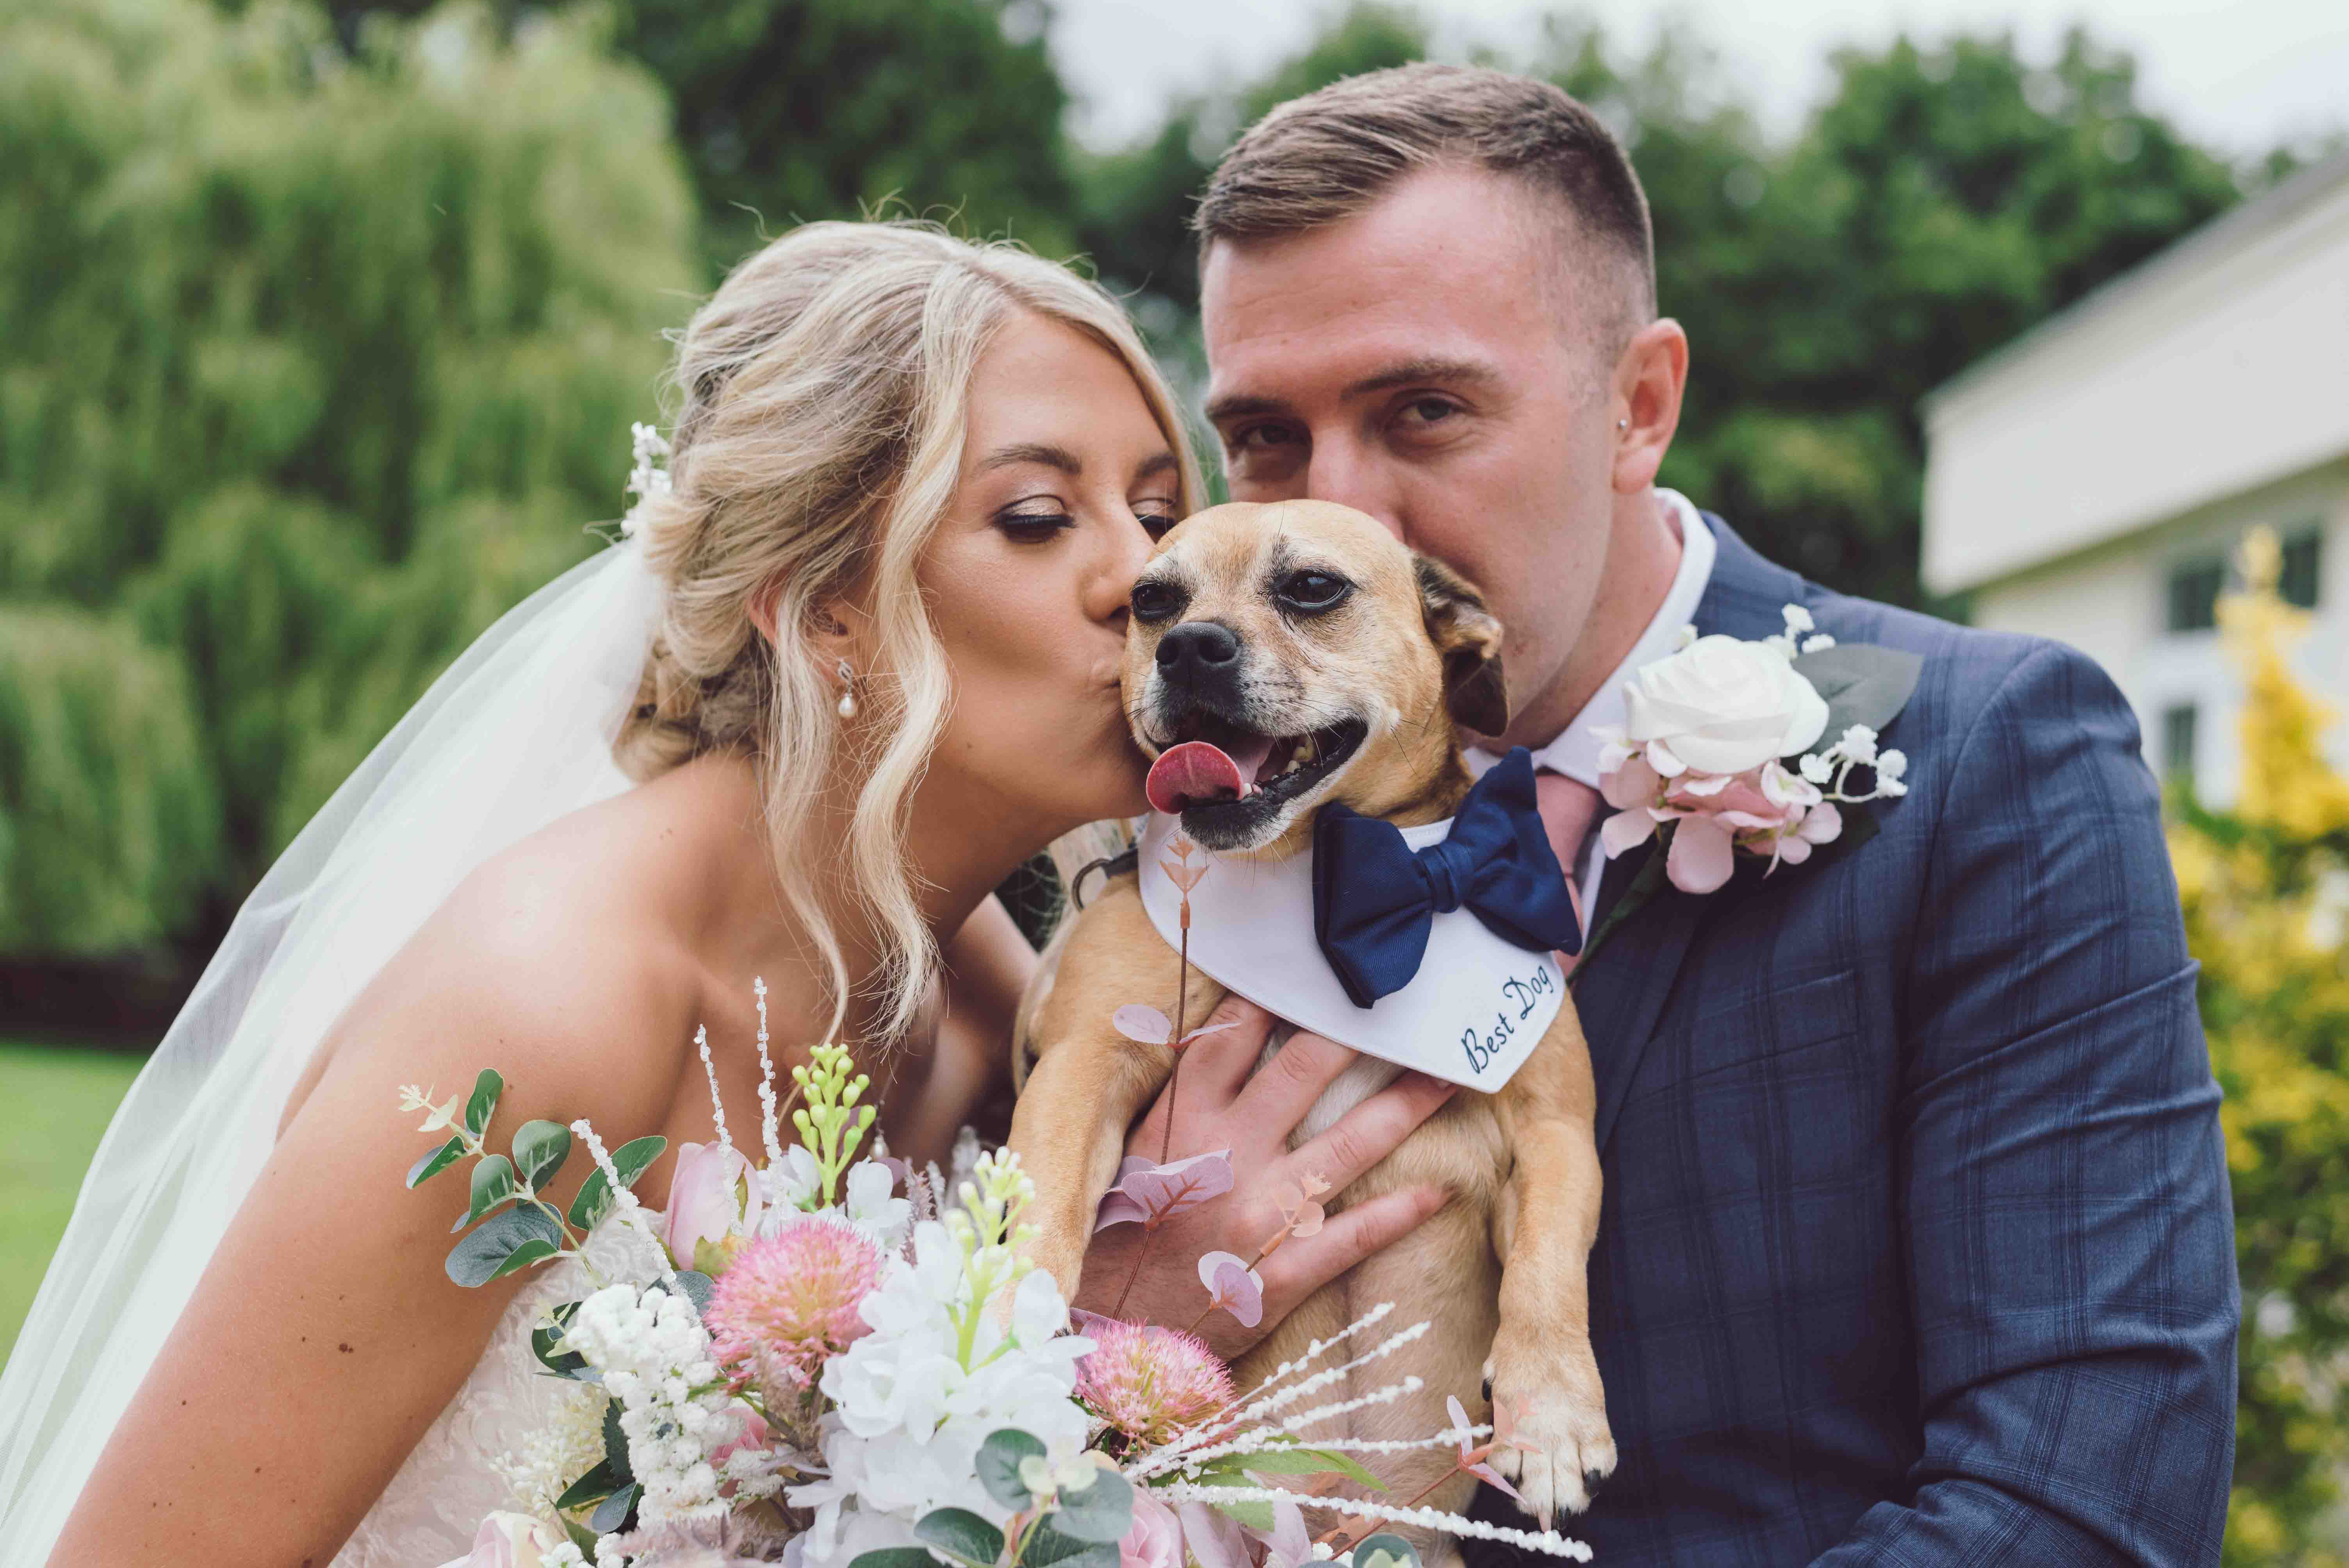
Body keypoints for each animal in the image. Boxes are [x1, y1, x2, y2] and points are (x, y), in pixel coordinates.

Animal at [1010, 500, 1616, 1539]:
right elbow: (1042, 1207)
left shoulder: (1554, 1129)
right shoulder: (1081, 1067)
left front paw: (1553, 1413)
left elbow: (1548, 1267)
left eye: (1311, 588)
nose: (1188, 646)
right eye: (1150, 600)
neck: (1322, 881)